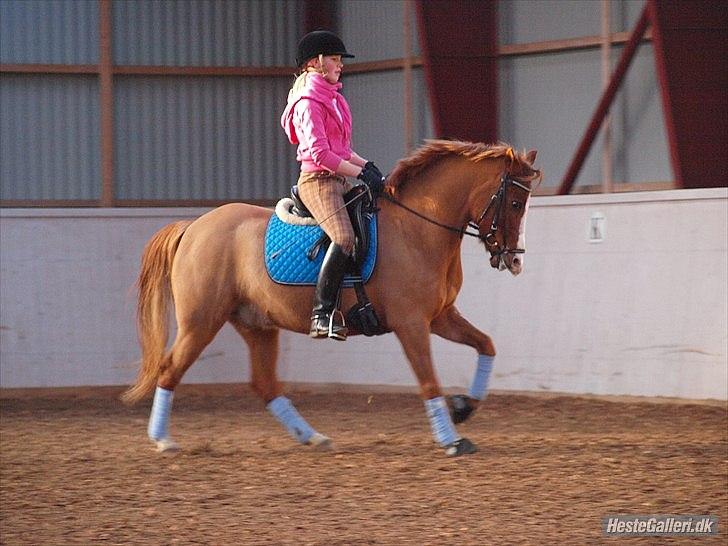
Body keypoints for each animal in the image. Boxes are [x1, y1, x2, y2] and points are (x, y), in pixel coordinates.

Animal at [122, 139, 536, 454]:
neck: (418, 228)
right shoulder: (412, 324)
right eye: (515, 203)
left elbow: (486, 345)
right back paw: (163, 440)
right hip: (201, 322)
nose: (515, 260)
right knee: (170, 370)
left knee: (264, 384)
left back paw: (313, 437)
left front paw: (464, 406)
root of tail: (193, 227)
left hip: (257, 324)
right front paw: (451, 439)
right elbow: (428, 380)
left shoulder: (440, 317)